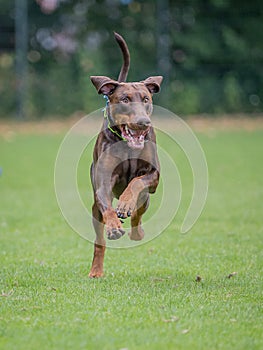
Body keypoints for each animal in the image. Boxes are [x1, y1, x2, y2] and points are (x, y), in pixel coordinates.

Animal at [88, 33, 163, 278]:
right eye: (125, 99)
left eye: (146, 99)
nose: (143, 123)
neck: (128, 146)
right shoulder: (103, 182)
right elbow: (107, 205)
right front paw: (114, 225)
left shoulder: (154, 176)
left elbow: (136, 182)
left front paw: (125, 204)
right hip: (94, 210)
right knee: (99, 240)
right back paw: (96, 270)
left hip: (146, 198)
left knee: (139, 213)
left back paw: (136, 230)